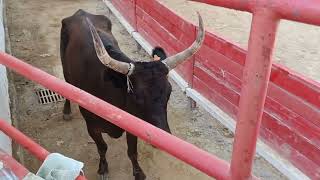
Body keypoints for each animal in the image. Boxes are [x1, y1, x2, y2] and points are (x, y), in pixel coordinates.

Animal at [59, 9, 205, 180]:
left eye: (169, 91)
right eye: (136, 95)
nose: (163, 137)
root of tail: (80, 12)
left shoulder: (133, 122)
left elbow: (132, 152)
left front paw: (138, 173)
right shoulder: (92, 126)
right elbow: (102, 147)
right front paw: (103, 168)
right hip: (65, 68)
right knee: (66, 85)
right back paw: (66, 111)